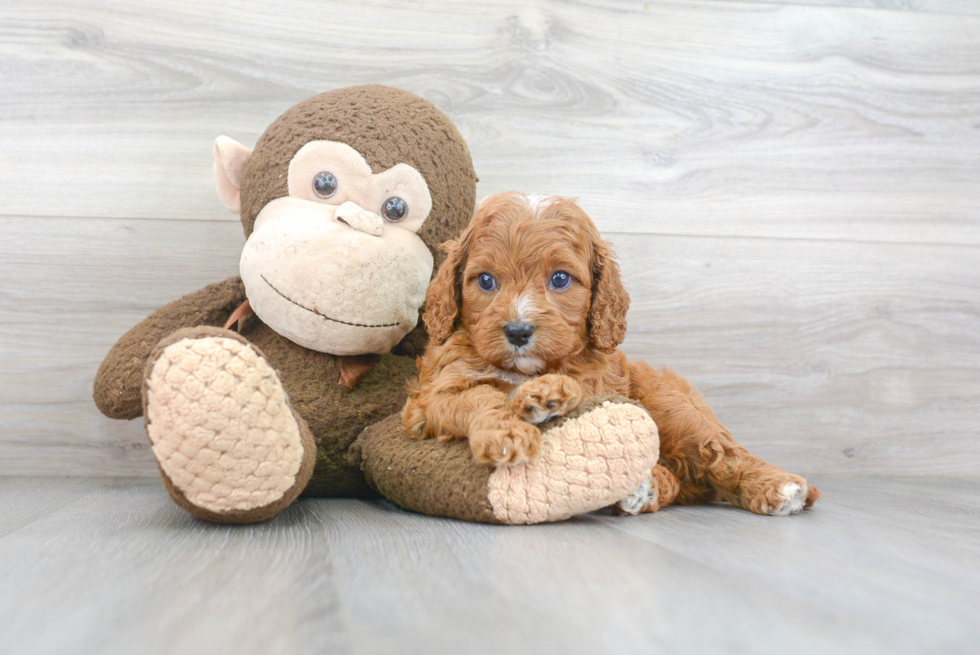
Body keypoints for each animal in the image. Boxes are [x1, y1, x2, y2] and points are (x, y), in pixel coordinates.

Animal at [400, 192, 820, 516]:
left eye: (560, 279)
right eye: (486, 281)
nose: (518, 331)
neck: (526, 369)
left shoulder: (601, 385)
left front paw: (545, 396)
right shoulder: (432, 396)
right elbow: (479, 396)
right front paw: (509, 428)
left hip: (672, 406)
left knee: (720, 453)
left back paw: (779, 486)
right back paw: (643, 488)